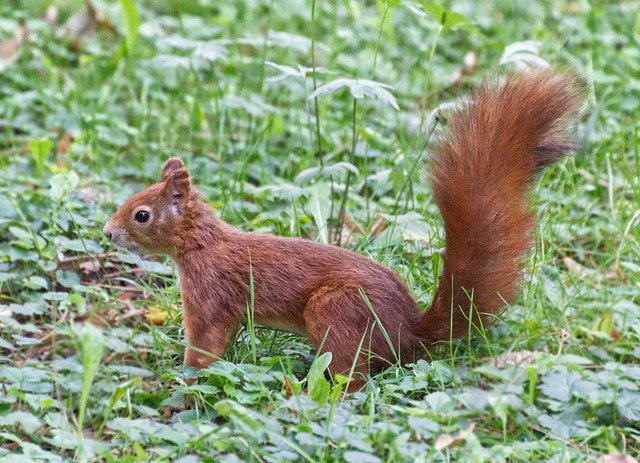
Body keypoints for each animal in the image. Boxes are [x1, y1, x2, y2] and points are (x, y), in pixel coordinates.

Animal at [102, 70, 584, 390]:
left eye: (141, 214)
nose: (107, 233)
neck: (203, 244)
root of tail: (409, 334)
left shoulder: (210, 292)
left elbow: (205, 345)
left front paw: (184, 378)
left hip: (336, 311)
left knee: (354, 377)